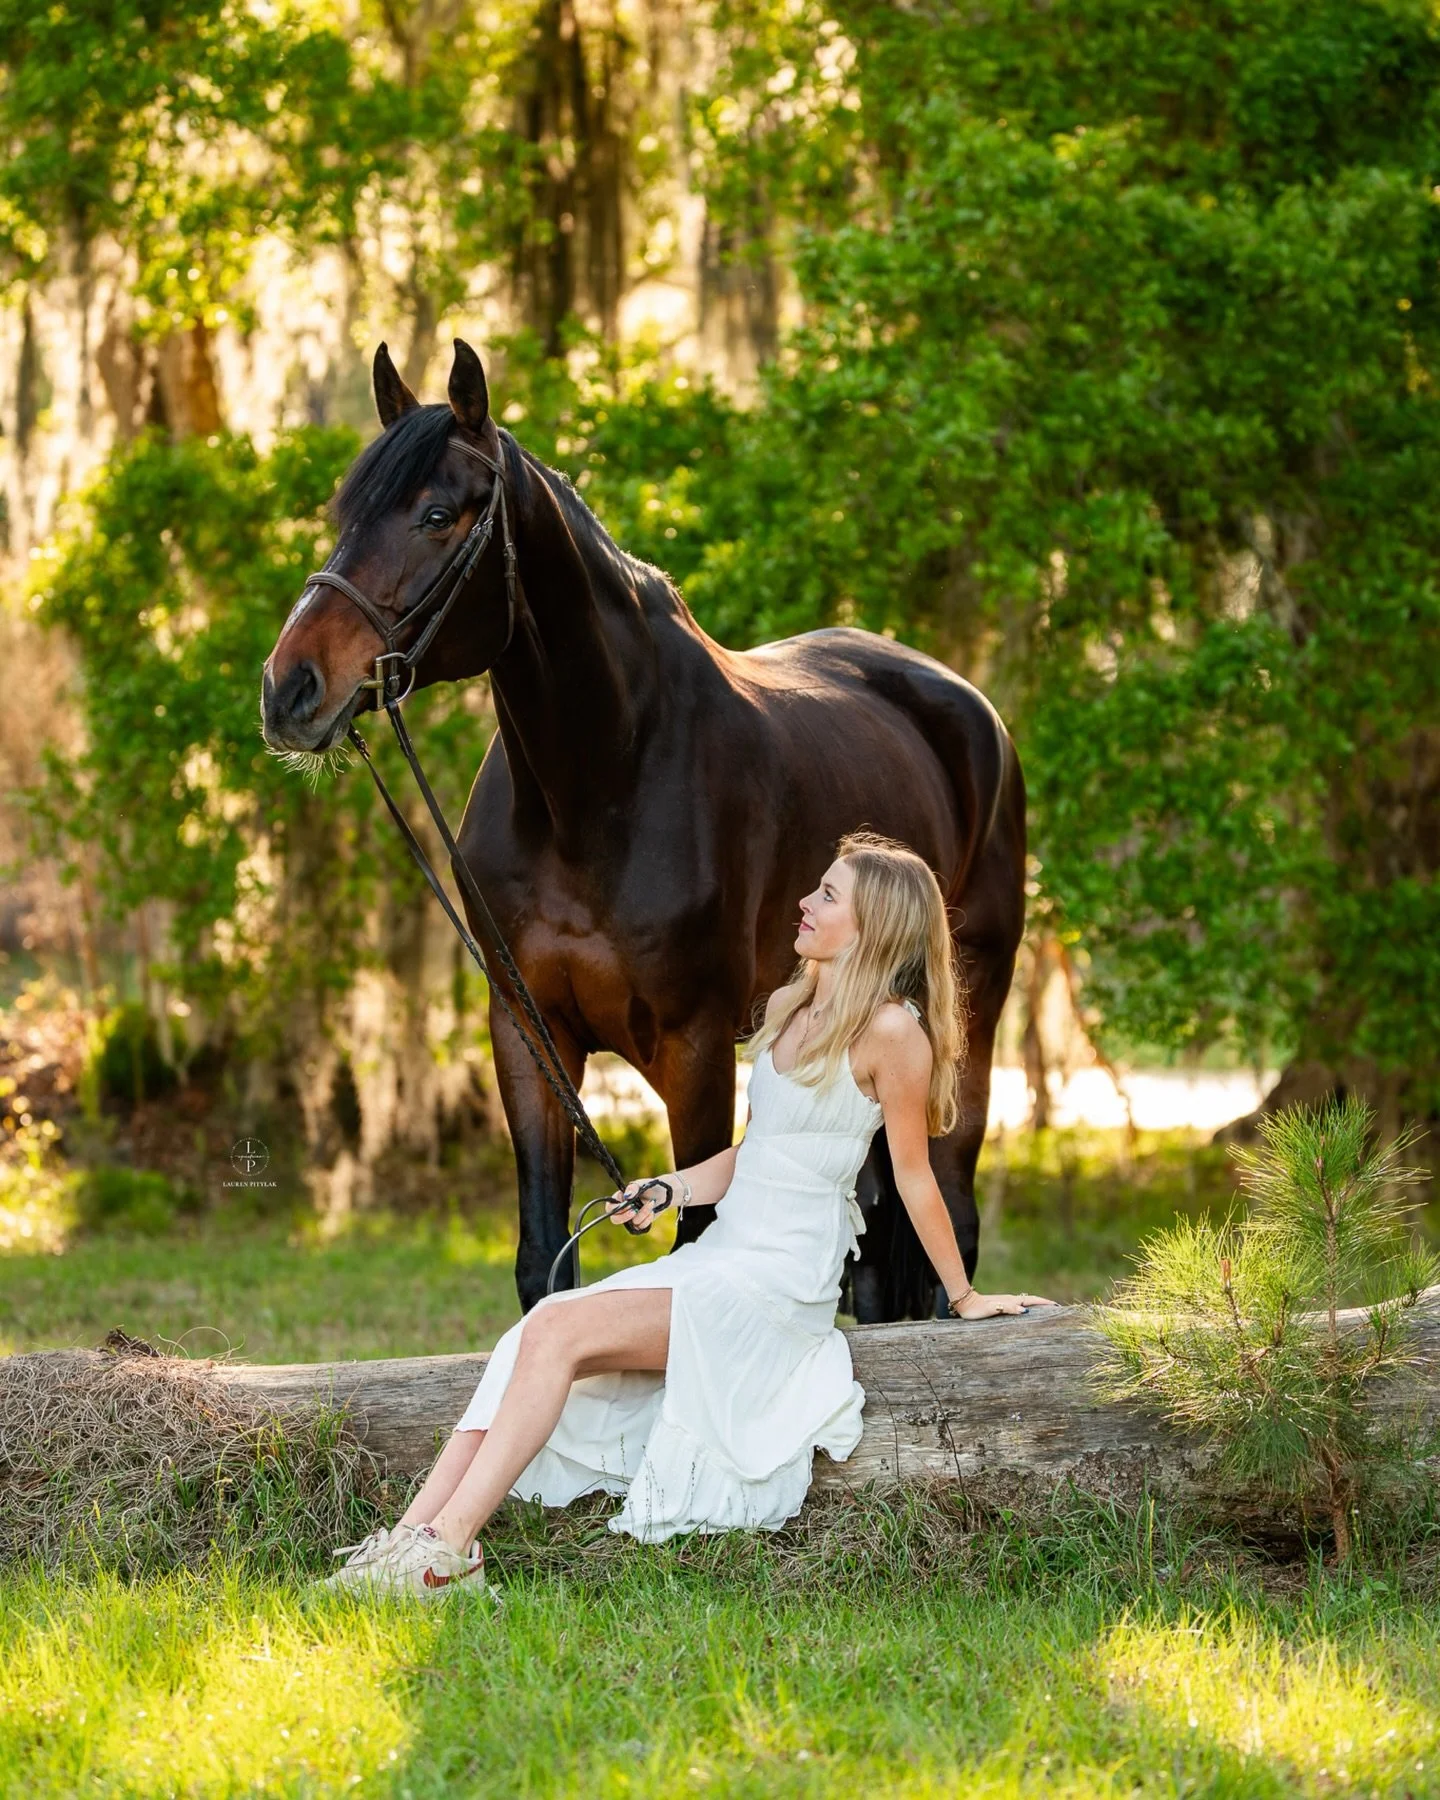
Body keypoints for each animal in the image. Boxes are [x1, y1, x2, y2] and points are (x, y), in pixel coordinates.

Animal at [261, 339, 1026, 1320]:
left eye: (435, 514)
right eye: (345, 513)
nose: (291, 689)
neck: (598, 787)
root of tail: (968, 706)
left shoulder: (696, 1049)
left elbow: (695, 1244)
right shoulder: (529, 1034)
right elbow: (543, 1260)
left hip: (968, 1014)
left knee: (949, 1216)